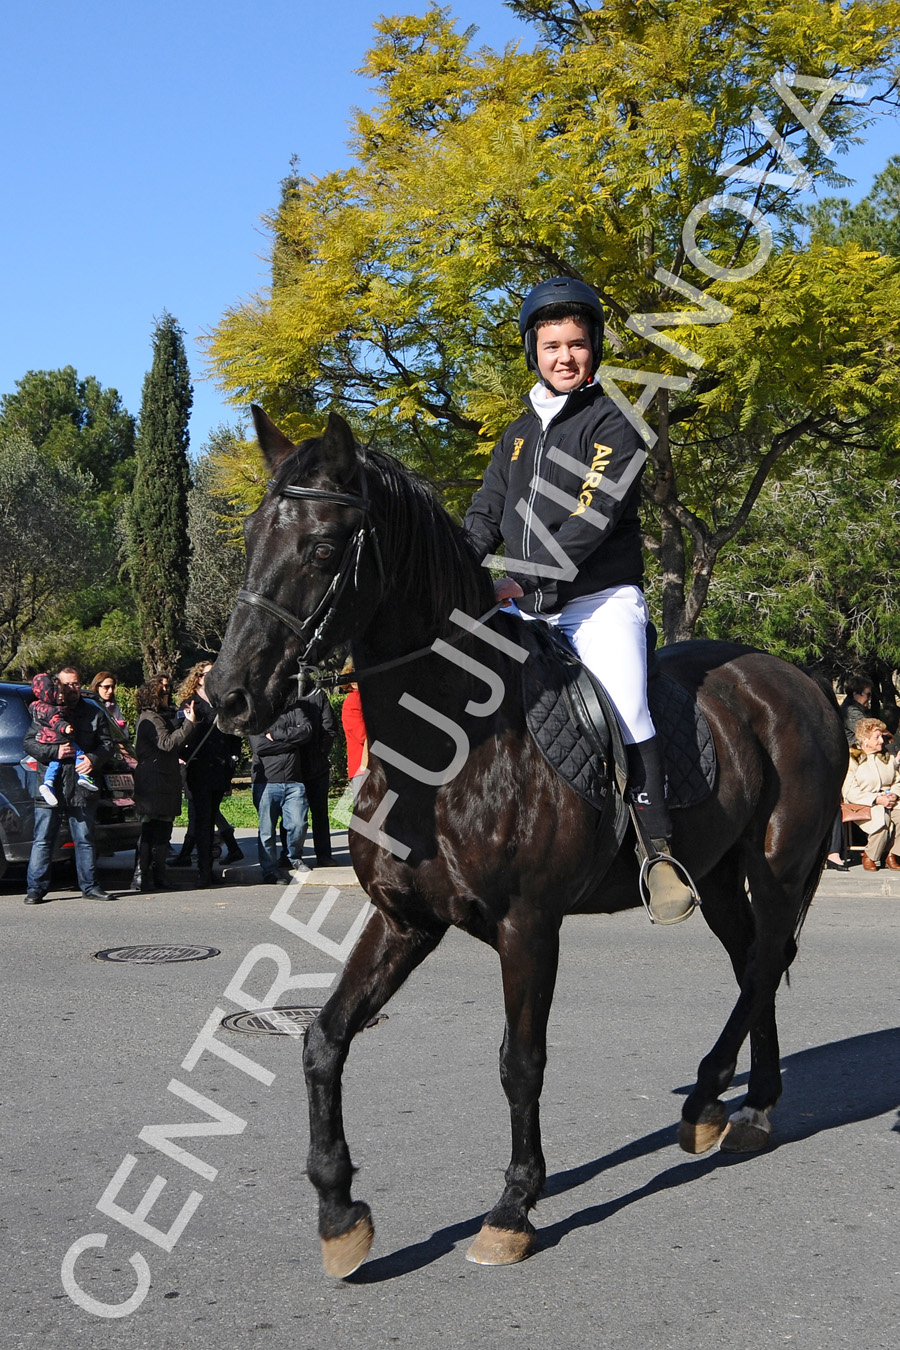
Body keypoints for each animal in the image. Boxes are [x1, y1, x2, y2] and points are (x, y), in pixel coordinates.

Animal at [207, 407, 847, 1274]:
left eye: (323, 547)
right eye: (249, 536)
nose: (228, 696)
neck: (450, 745)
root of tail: (798, 678)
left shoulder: (529, 926)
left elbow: (521, 1061)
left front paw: (514, 1205)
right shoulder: (405, 922)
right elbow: (323, 1039)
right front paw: (339, 1214)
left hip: (779, 864)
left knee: (760, 965)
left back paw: (713, 1094)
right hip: (715, 875)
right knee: (755, 962)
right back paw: (751, 1107)